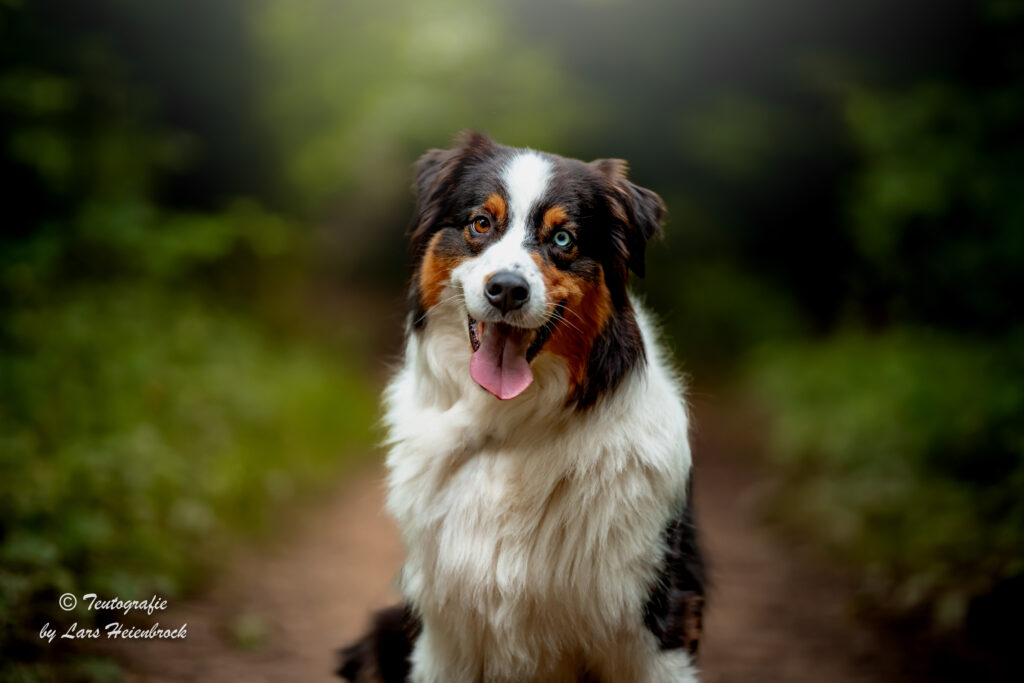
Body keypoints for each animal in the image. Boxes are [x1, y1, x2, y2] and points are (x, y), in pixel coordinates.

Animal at [335, 131, 704, 679]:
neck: (510, 424)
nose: (507, 289)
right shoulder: (444, 632)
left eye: (563, 239)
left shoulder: (654, 626)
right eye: (481, 224)